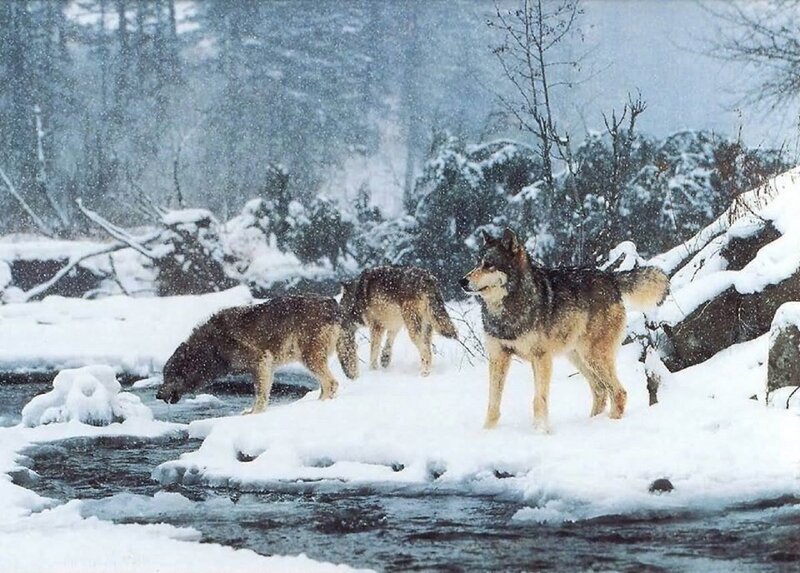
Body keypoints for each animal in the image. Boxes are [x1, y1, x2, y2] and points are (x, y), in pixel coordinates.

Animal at [156, 295, 358, 413]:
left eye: (169, 376)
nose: (157, 396)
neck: (212, 347)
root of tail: (333, 304)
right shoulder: (266, 368)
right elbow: (263, 393)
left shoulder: (260, 363)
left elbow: (259, 394)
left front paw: (254, 413)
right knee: (326, 385)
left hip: (309, 359)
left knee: (331, 383)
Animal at [461, 228, 668, 431]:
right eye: (477, 264)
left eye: (489, 265)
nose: (462, 281)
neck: (507, 309)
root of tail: (609, 277)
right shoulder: (498, 356)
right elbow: (493, 403)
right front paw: (487, 432)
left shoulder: (541, 357)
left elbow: (538, 400)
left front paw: (541, 432)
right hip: (578, 357)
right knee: (600, 390)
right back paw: (591, 422)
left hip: (593, 356)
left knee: (618, 392)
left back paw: (608, 424)